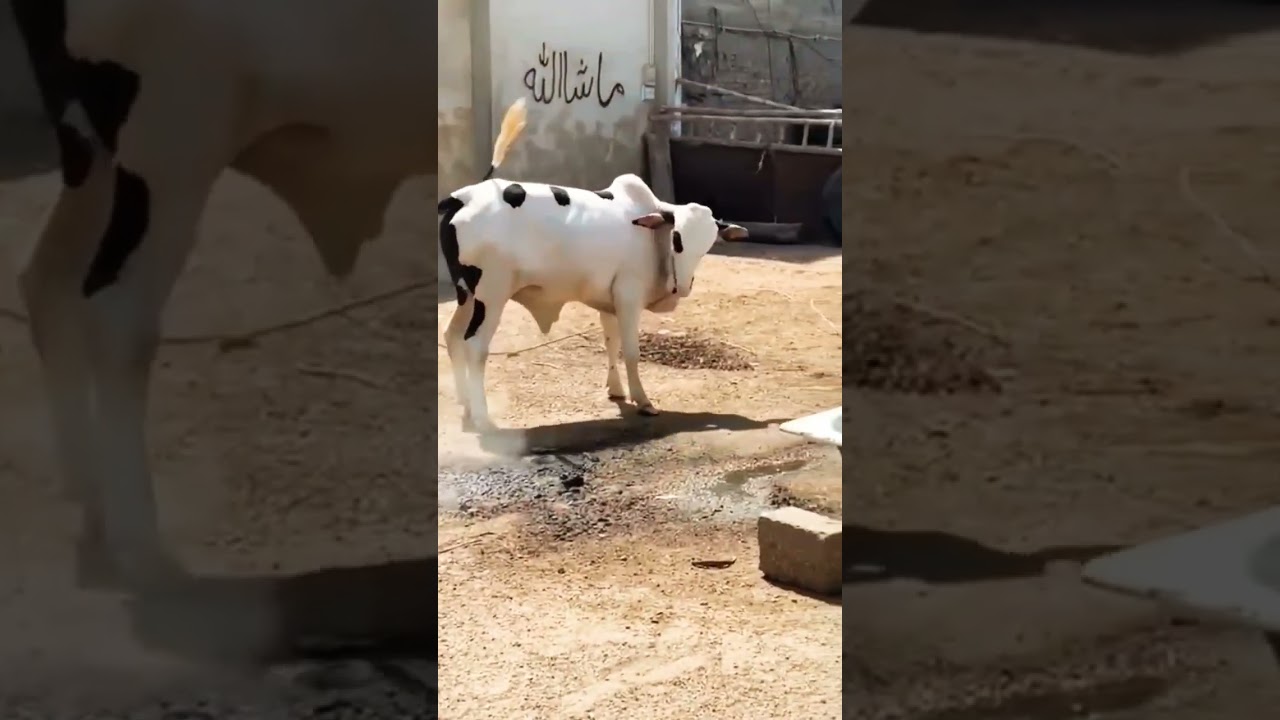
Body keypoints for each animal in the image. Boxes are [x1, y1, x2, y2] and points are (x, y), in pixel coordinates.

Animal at [9, 0, 433, 589]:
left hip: (96, 154)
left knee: (49, 282)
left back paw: (92, 504)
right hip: (172, 140)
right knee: (118, 320)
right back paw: (142, 549)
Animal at [438, 100, 748, 433]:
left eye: (707, 246)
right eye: (677, 239)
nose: (685, 286)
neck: (650, 232)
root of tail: (462, 197)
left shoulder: (609, 301)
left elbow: (611, 343)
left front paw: (617, 390)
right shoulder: (628, 296)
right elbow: (631, 351)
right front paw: (644, 401)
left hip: (467, 295)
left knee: (452, 336)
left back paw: (466, 407)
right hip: (492, 295)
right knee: (474, 346)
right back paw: (482, 417)